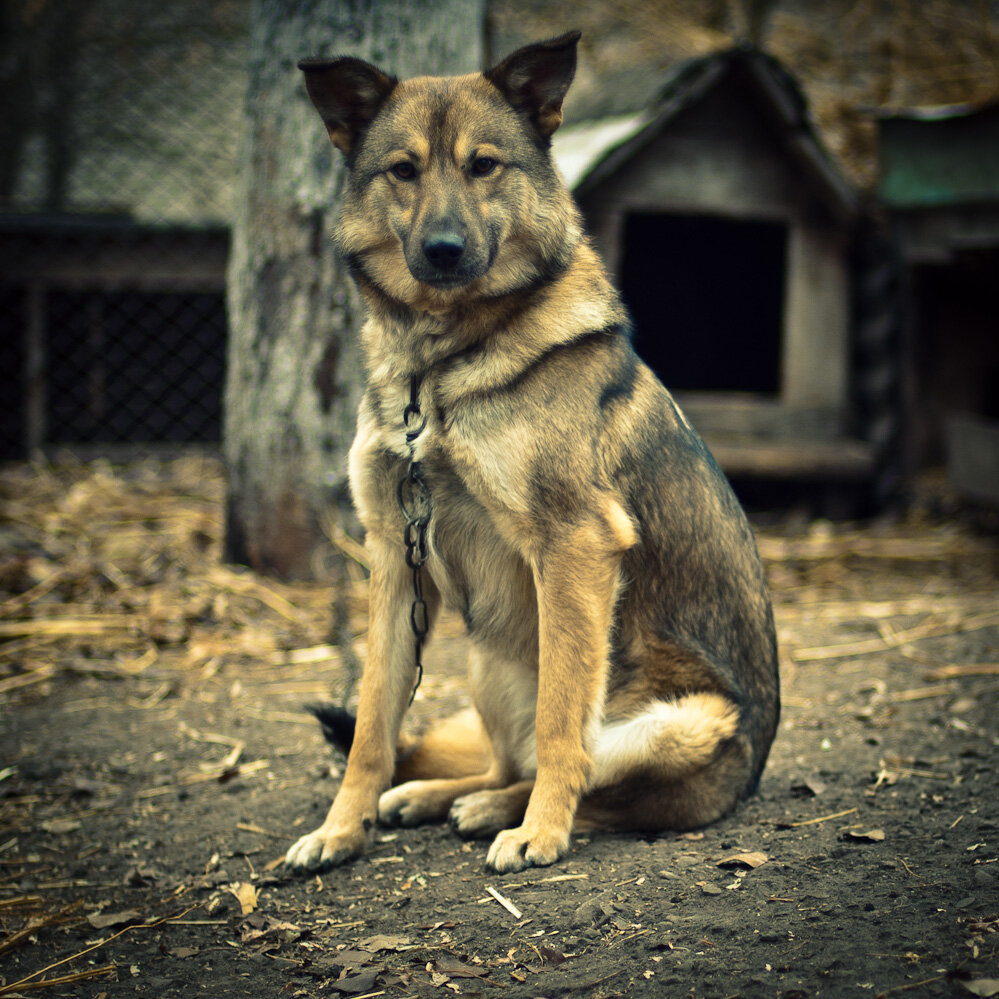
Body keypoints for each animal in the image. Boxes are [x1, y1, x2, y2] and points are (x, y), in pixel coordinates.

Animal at [284, 31, 780, 876]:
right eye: (403, 170)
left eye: (484, 165)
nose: (443, 250)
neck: (438, 360)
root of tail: (747, 778)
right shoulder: (392, 561)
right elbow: (372, 726)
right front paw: (341, 829)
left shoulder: (575, 544)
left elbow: (560, 726)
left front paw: (542, 833)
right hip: (487, 659)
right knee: (501, 758)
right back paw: (446, 795)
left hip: (675, 722)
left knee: (594, 777)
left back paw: (507, 812)